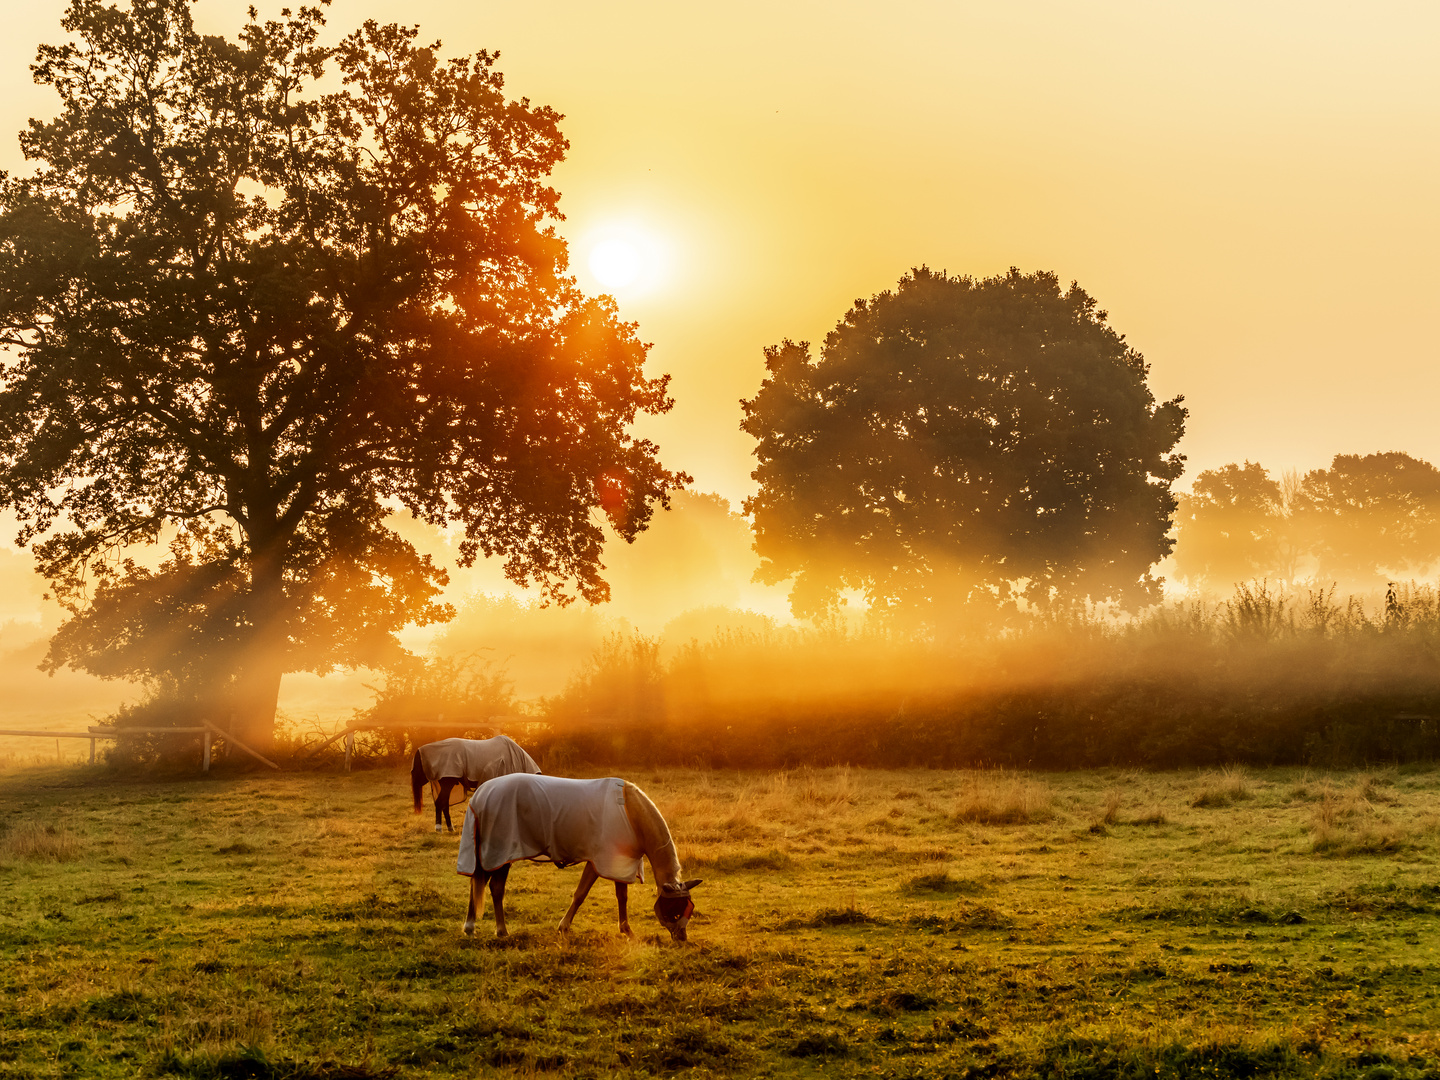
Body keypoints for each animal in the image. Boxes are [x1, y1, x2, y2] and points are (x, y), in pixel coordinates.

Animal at [460, 771, 702, 944]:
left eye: (689, 907)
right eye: (675, 909)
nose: (682, 939)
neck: (631, 813)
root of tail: (481, 794)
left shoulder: (621, 863)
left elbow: (621, 897)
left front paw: (626, 930)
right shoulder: (600, 861)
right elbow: (580, 894)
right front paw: (564, 927)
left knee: (481, 883)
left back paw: (472, 927)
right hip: (500, 853)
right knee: (494, 887)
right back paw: (499, 930)